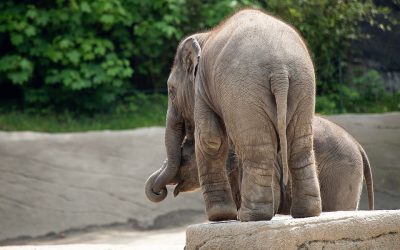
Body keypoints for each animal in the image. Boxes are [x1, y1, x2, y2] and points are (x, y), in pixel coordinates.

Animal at [144, 8, 322, 222]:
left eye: (171, 91)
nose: (160, 192)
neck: (205, 36)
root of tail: (280, 70)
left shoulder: (202, 88)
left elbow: (210, 139)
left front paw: (219, 216)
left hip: (244, 91)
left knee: (257, 148)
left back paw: (250, 216)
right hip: (303, 85)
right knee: (300, 145)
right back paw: (306, 213)